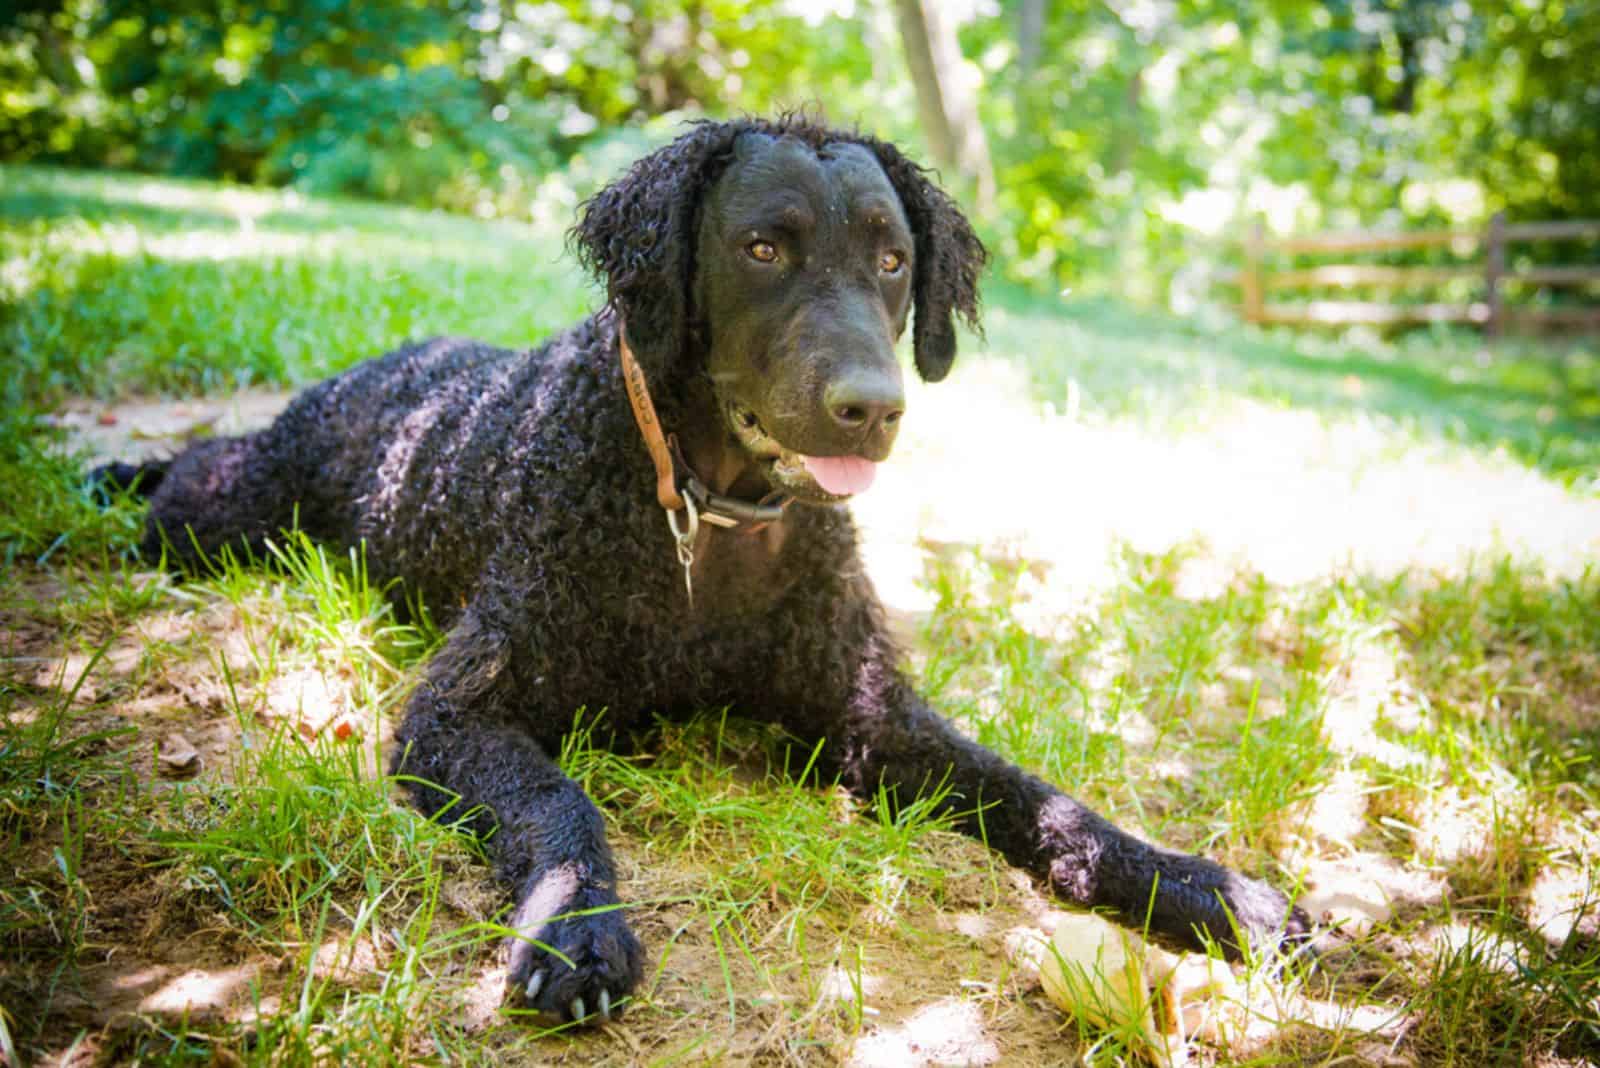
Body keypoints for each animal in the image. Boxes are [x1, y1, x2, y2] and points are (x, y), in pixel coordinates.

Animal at [100, 116, 1305, 1023]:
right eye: (764, 248)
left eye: (893, 259)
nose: (874, 409)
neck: (712, 516)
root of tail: (404, 360)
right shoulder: (460, 710)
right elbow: (556, 802)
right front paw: (576, 931)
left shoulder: (873, 715)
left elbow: (1049, 805)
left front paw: (1214, 893)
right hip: (226, 515)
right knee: (192, 471)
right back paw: (109, 477)